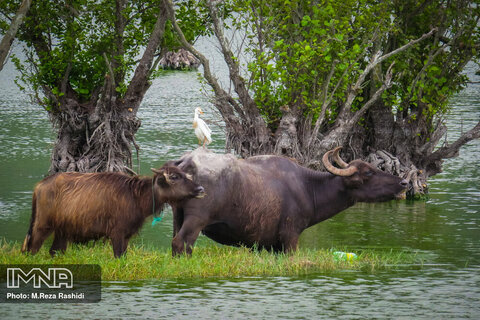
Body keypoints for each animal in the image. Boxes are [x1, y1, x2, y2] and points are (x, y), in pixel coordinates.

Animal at [21, 165, 205, 258]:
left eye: (185, 175)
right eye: (174, 177)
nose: (201, 189)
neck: (137, 197)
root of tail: (39, 186)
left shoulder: (127, 235)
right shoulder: (116, 233)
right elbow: (118, 255)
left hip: (62, 231)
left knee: (54, 251)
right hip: (42, 225)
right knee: (32, 247)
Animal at [168, 147, 404, 255]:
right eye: (368, 173)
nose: (402, 182)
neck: (307, 187)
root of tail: (185, 162)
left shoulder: (268, 245)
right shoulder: (290, 236)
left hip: (177, 217)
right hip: (196, 220)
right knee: (182, 242)